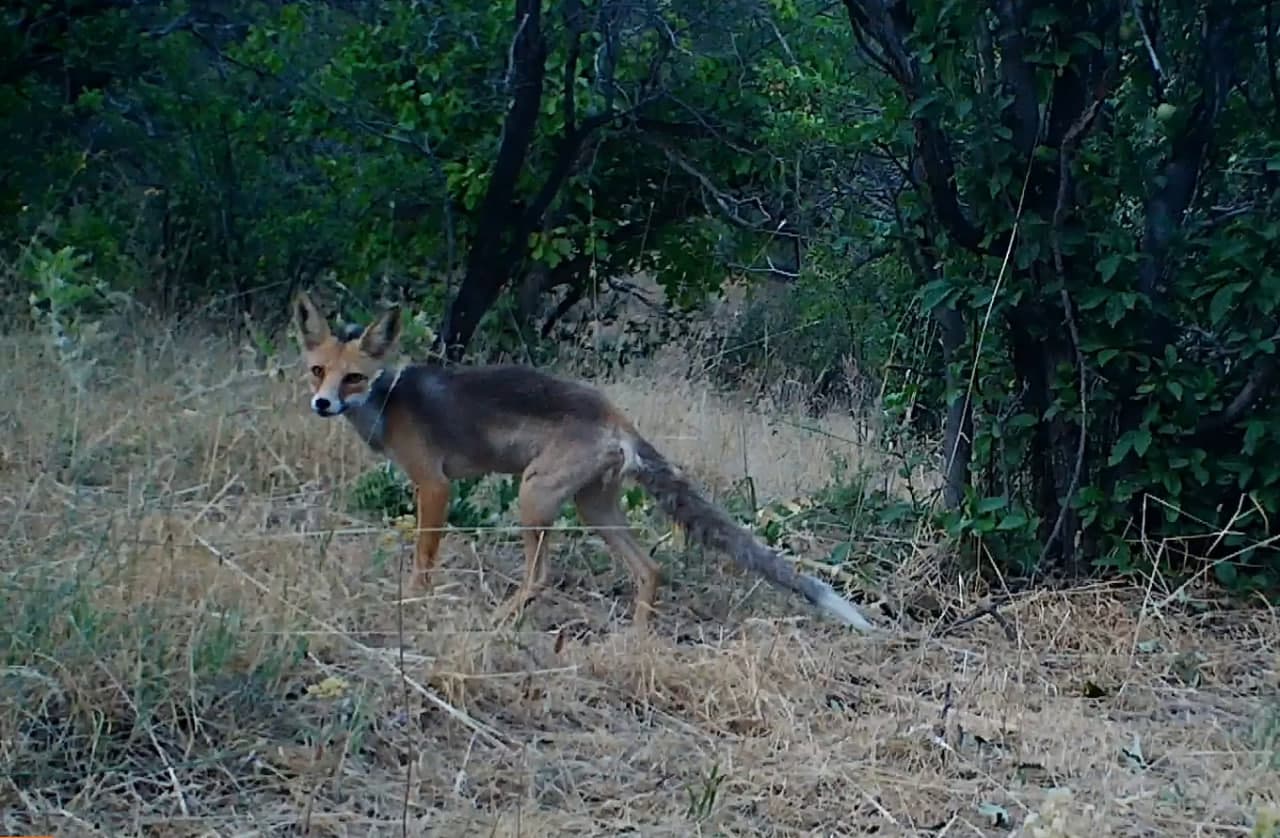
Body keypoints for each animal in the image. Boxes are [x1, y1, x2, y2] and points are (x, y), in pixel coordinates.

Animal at [292, 290, 876, 633]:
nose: (322, 405)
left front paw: (413, 607)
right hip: (594, 509)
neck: (389, 402)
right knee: (651, 569)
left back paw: (502, 620)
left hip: (533, 498)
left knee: (541, 577)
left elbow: (422, 563)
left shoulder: (435, 487)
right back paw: (636, 643)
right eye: (318, 371)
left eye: (354, 378)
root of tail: (616, 416)